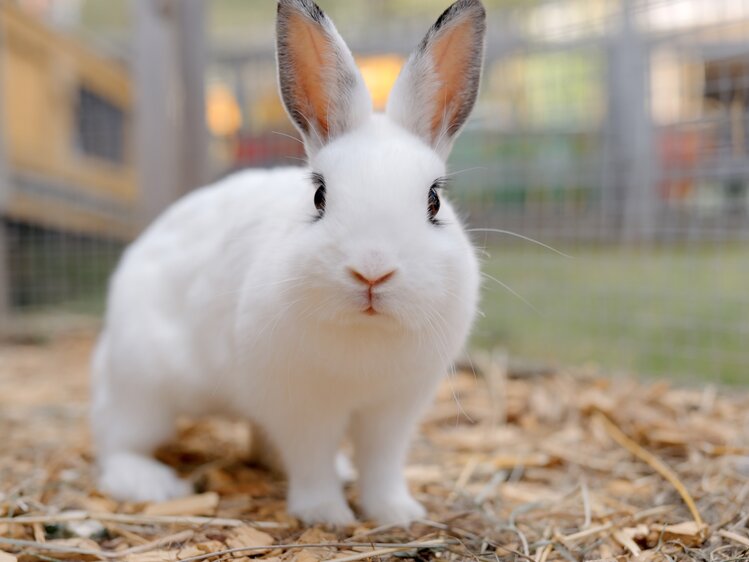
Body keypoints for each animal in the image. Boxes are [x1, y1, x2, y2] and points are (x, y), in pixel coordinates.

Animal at [90, 0, 486, 524]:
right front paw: (327, 516)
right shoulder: (301, 408)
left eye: (434, 201)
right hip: (143, 385)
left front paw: (396, 513)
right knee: (118, 441)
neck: (365, 333)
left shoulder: (393, 410)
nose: (372, 270)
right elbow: (310, 459)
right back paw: (151, 483)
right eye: (319, 196)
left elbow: (381, 463)